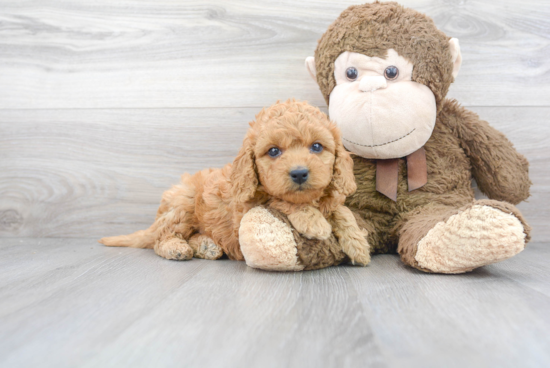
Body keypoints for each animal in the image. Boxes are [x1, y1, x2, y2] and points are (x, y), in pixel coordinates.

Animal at [101, 99, 374, 266]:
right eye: (273, 151)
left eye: (317, 147)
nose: (299, 174)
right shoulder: (246, 207)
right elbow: (278, 199)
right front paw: (314, 221)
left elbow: (342, 211)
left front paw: (358, 244)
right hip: (182, 205)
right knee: (162, 237)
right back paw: (176, 248)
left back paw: (207, 246)